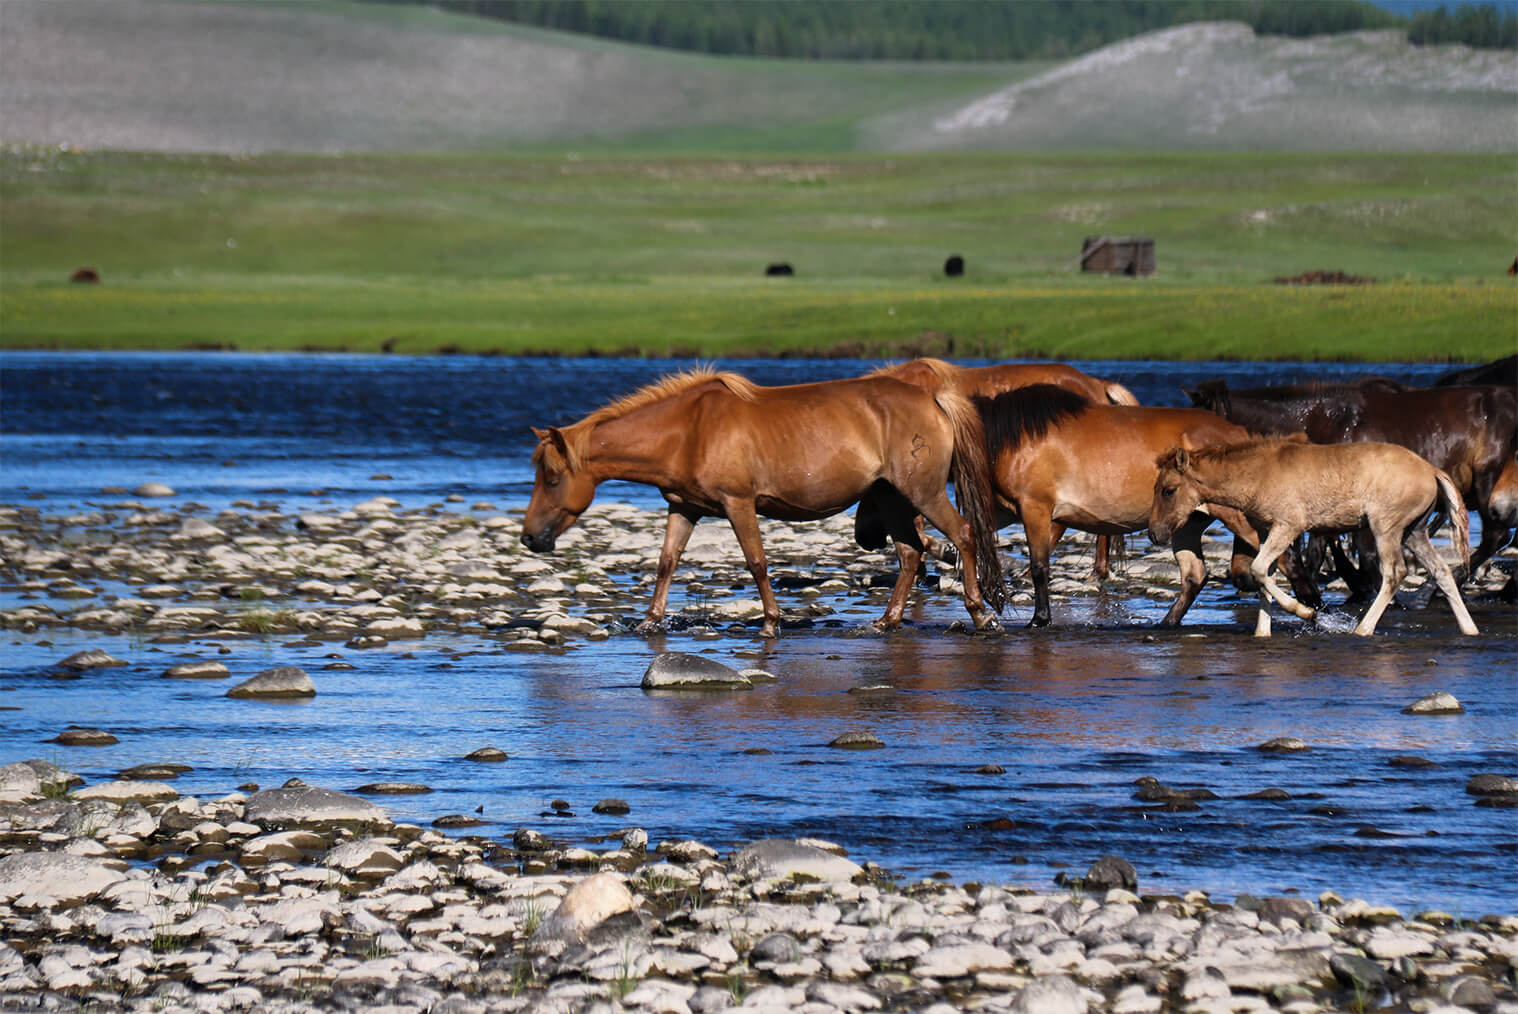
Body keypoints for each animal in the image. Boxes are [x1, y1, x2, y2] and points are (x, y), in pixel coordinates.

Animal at [522, 364, 1007, 637]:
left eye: (552, 478)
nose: (529, 539)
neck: (689, 430)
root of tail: (933, 398)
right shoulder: (684, 507)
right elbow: (666, 563)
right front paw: (649, 622)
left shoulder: (738, 504)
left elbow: (756, 562)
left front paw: (772, 623)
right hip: (891, 497)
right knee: (910, 553)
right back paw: (886, 621)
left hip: (922, 493)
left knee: (963, 534)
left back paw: (981, 615)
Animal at [971, 384, 1305, 625]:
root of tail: (1240, 433)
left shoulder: (1035, 507)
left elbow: (1039, 565)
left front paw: (1039, 619)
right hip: (1186, 521)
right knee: (1195, 576)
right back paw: (1167, 622)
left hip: (1238, 516)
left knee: (1284, 559)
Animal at [1153, 437, 1475, 640]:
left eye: (1168, 490)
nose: (1156, 534)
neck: (1257, 475)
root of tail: (1432, 470)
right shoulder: (1267, 530)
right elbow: (1265, 575)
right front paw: (1262, 632)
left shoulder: (1289, 525)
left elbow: (1258, 570)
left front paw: (1308, 614)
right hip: (1414, 531)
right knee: (1442, 571)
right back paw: (1469, 629)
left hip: (1387, 527)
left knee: (1395, 573)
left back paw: (1362, 629)